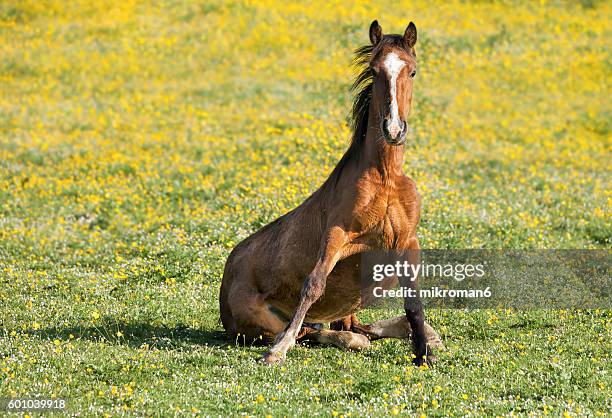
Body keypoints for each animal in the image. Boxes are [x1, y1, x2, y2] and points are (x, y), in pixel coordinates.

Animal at [220, 20, 440, 366]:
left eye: (413, 72)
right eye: (375, 70)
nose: (393, 129)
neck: (385, 177)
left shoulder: (407, 241)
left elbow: (414, 301)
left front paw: (423, 353)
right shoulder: (337, 233)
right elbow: (313, 283)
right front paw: (276, 353)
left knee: (356, 328)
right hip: (263, 322)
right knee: (315, 332)